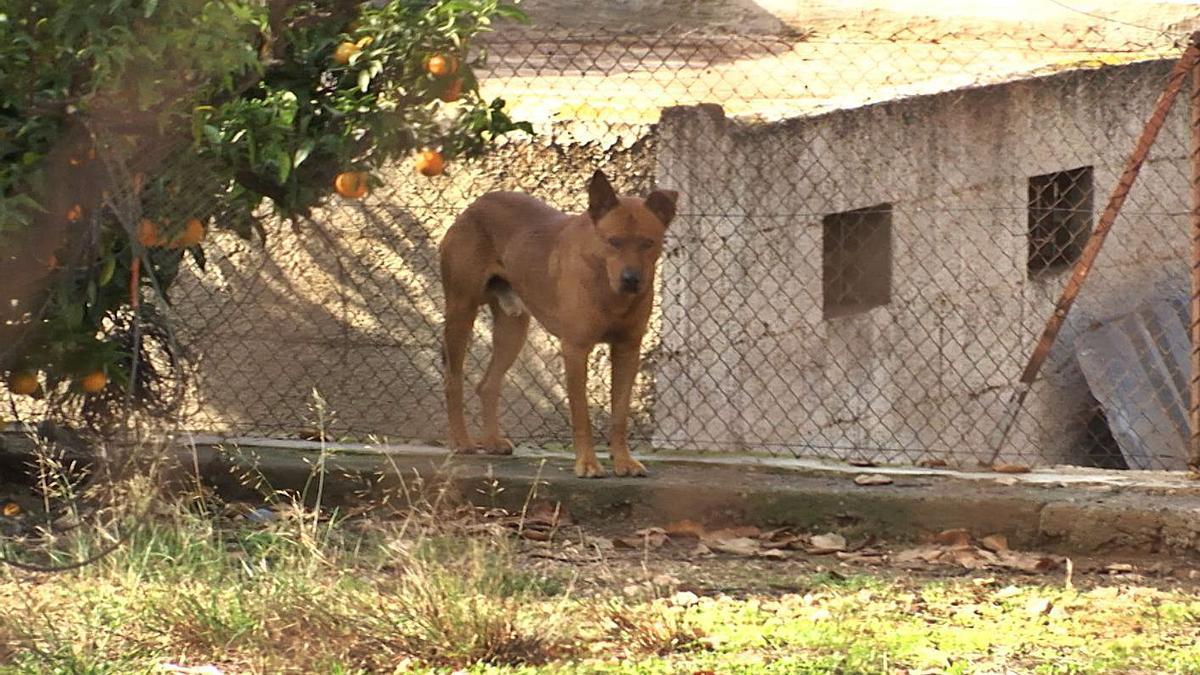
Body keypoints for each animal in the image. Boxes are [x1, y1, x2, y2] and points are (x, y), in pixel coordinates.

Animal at [439, 170, 676, 475]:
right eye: (613, 241)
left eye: (648, 243)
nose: (631, 279)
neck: (606, 285)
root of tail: (474, 206)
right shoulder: (575, 349)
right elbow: (581, 414)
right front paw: (587, 464)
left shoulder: (628, 350)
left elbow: (620, 415)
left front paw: (624, 461)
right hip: (461, 311)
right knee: (452, 379)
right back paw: (461, 441)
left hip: (513, 327)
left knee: (488, 384)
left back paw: (491, 441)